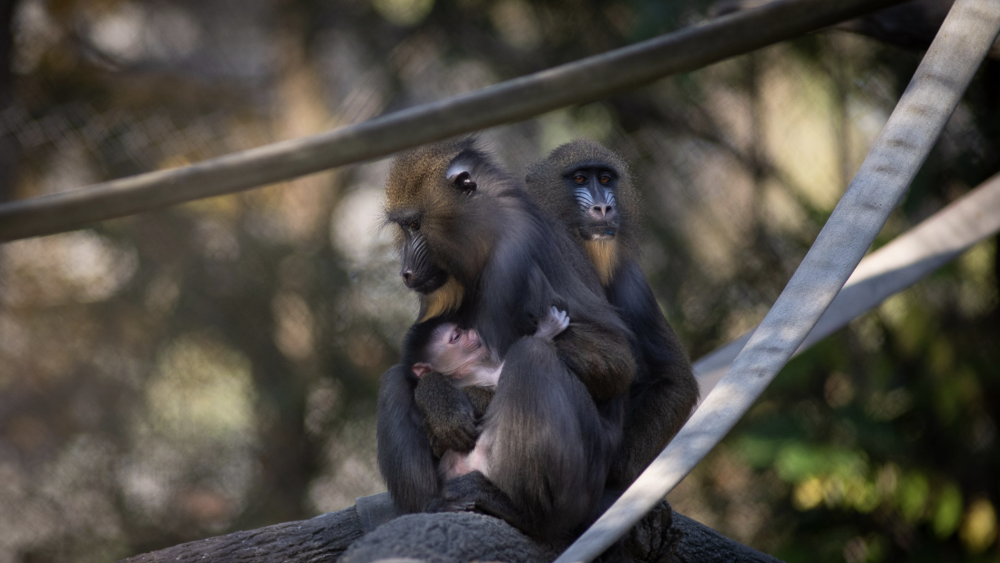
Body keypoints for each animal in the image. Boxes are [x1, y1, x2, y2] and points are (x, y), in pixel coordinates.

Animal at [411, 306, 571, 481]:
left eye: (462, 329)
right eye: (456, 337)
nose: (472, 331)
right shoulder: (474, 370)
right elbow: (498, 376)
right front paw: (547, 329)